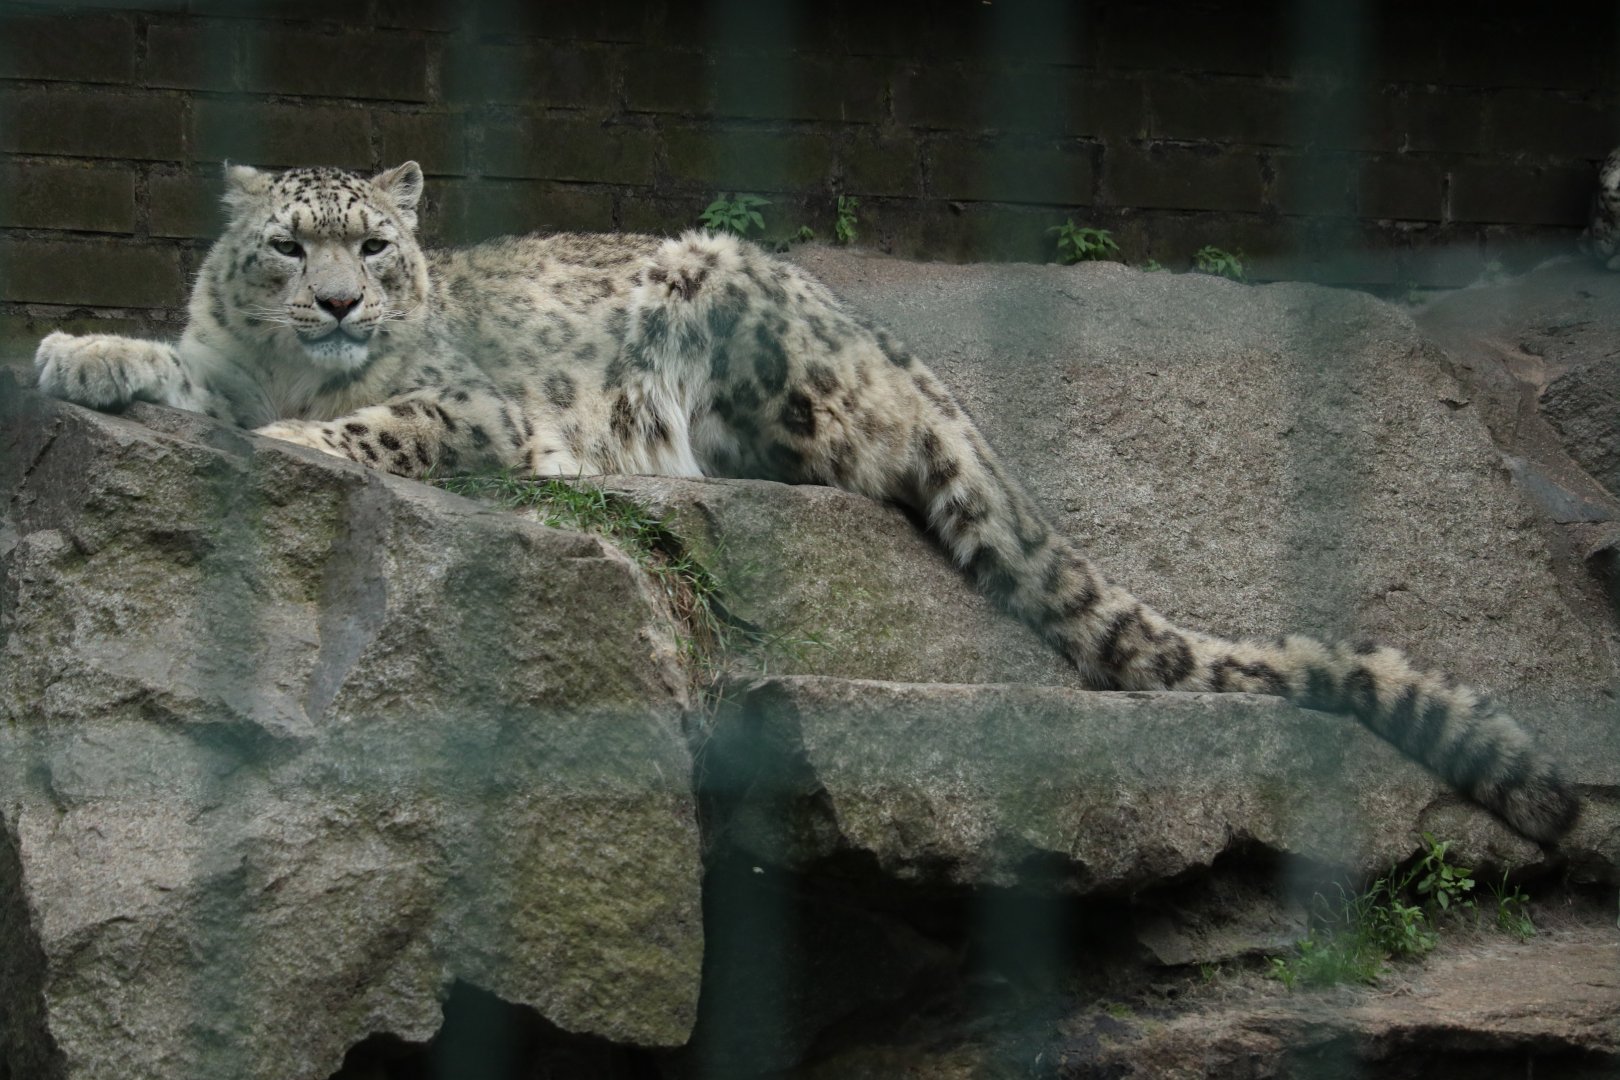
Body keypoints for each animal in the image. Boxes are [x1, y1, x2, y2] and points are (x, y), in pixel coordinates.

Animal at [32, 161, 1579, 843]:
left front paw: (312, 438)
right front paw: (76, 353)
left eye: (376, 248)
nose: (344, 304)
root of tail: (898, 347)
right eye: (290, 245)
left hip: (739, 333)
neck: (284, 364)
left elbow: (384, 418)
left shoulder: (468, 404)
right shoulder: (227, 359)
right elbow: (178, 365)